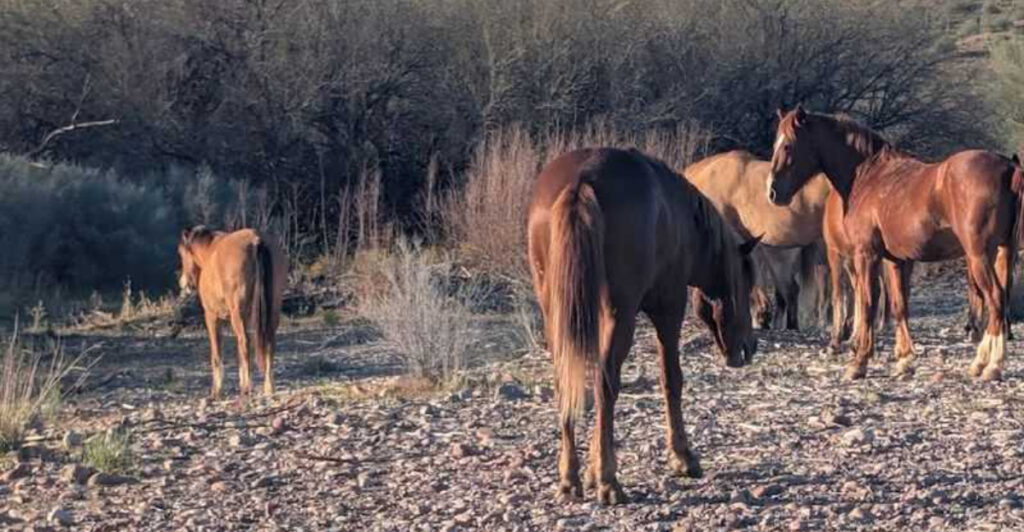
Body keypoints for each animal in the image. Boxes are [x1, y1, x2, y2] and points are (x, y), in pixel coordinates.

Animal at [178, 226, 288, 397]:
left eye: (182, 253)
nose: (184, 283)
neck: (210, 251)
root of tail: (256, 240)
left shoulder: (212, 317)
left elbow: (217, 353)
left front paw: (216, 390)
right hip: (272, 311)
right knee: (269, 342)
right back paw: (268, 387)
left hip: (237, 314)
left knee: (245, 342)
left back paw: (247, 388)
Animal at [527, 147, 759, 505]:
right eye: (746, 280)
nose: (749, 347)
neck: (685, 221)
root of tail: (581, 182)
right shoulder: (668, 309)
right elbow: (671, 379)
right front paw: (682, 457)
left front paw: (592, 468)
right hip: (620, 314)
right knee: (605, 384)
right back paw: (610, 482)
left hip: (556, 314)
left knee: (566, 382)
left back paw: (570, 478)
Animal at [767, 106, 1023, 381]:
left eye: (788, 145)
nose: (772, 192)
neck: (868, 176)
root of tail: (1009, 168)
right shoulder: (895, 260)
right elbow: (899, 305)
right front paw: (904, 361)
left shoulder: (866, 255)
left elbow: (867, 302)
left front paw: (858, 363)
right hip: (1003, 253)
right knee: (1001, 300)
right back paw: (981, 362)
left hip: (979, 256)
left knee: (995, 298)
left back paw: (992, 365)